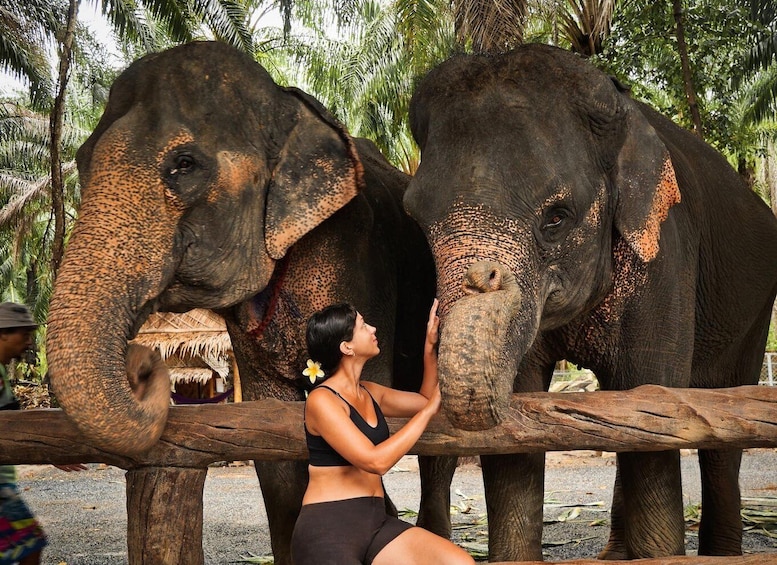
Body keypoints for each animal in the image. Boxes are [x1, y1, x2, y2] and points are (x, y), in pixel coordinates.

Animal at [44, 40, 454, 564]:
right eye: (80, 159)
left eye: (184, 164)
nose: (145, 366)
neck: (287, 105)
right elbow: (272, 437)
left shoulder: (360, 260)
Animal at [404, 43, 776, 560]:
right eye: (416, 220)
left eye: (556, 217)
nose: (481, 280)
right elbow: (522, 426)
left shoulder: (667, 256)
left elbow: (655, 399)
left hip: (753, 312)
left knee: (723, 423)